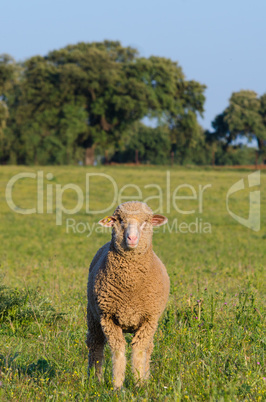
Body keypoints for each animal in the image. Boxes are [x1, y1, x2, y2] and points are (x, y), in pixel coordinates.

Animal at [85, 201, 168, 390]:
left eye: (146, 222)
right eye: (119, 220)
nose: (131, 239)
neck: (130, 286)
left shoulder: (148, 319)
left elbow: (139, 351)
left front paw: (139, 384)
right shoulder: (108, 318)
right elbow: (118, 352)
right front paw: (117, 386)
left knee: (148, 348)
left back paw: (146, 377)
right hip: (93, 316)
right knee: (96, 345)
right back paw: (95, 380)